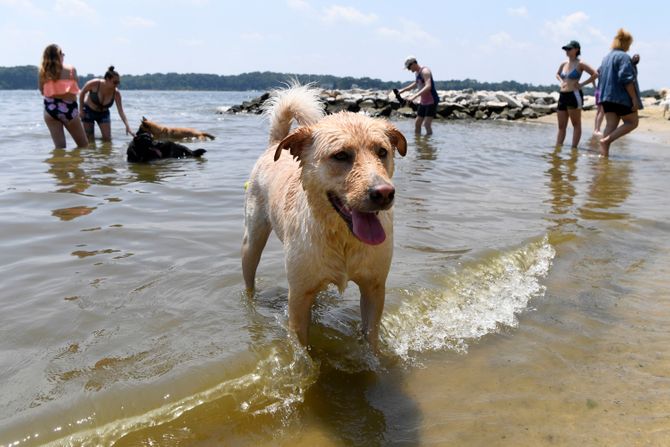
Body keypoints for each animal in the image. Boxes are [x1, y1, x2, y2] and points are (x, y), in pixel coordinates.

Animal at [243, 85, 410, 350]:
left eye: (382, 152)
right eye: (341, 155)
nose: (384, 193)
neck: (343, 238)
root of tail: (275, 144)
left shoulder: (374, 288)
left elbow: (371, 337)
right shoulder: (298, 297)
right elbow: (301, 349)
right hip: (252, 243)